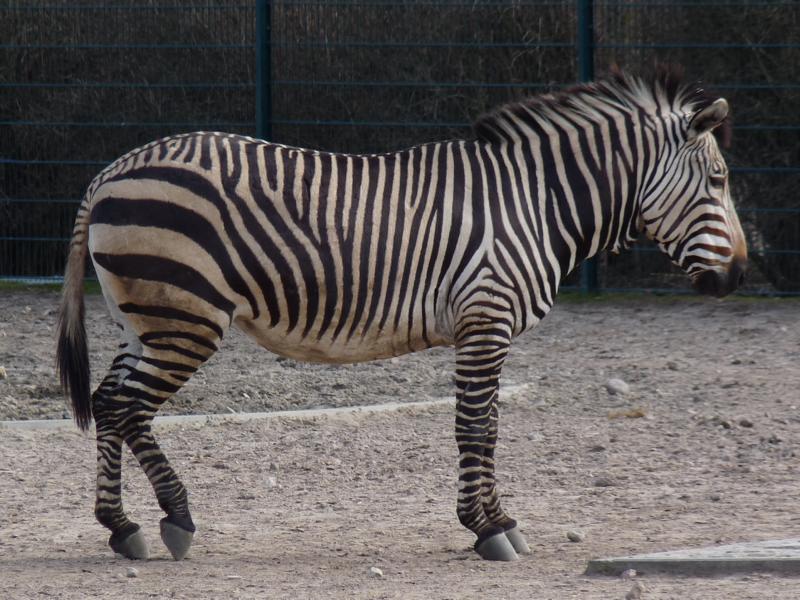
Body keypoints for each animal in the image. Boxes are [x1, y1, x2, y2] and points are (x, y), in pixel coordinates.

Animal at [57, 66, 747, 563]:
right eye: (717, 180)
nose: (739, 276)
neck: (537, 201)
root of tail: (110, 171)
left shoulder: (484, 326)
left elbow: (487, 423)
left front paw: (494, 519)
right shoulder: (485, 319)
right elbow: (477, 428)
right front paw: (489, 529)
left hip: (144, 320)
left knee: (109, 401)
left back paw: (122, 527)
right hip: (184, 319)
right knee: (125, 407)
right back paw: (174, 517)